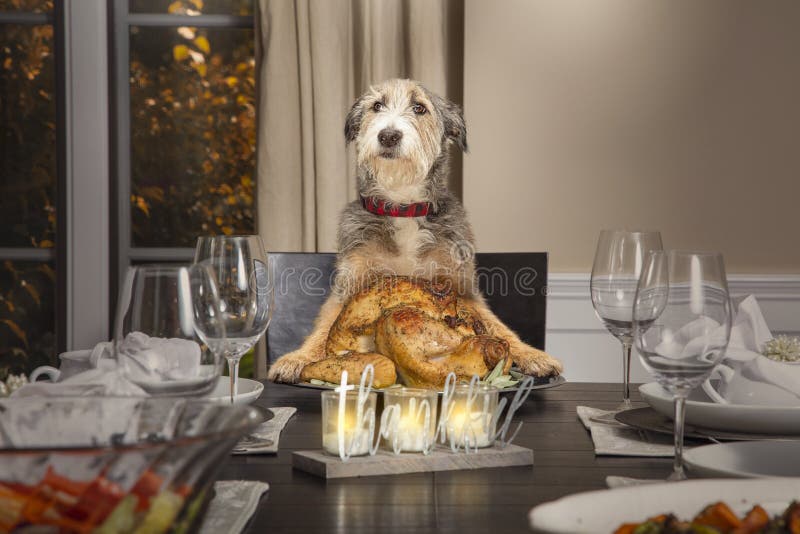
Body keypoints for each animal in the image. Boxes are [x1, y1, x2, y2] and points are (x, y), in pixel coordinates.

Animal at [268, 78, 564, 386]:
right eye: (377, 106)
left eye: (419, 108)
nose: (388, 136)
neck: (403, 206)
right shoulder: (350, 284)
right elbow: (327, 324)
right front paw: (298, 357)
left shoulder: (462, 287)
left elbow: (497, 325)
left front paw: (532, 355)